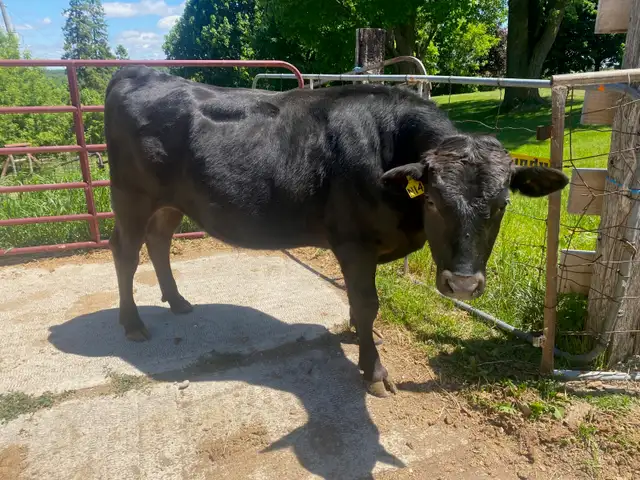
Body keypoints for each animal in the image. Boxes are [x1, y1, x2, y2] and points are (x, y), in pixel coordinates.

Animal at [104, 66, 568, 397]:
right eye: (434, 201)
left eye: (502, 204)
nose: (464, 285)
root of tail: (139, 72)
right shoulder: (353, 242)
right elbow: (366, 303)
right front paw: (373, 368)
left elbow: (359, 304)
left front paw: (358, 336)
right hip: (131, 197)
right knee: (125, 251)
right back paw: (132, 323)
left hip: (170, 202)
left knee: (158, 242)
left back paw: (178, 301)